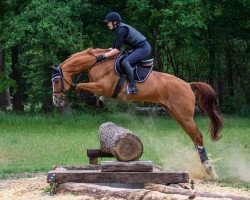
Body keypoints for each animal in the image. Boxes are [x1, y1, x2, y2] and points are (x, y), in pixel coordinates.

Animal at [51, 47, 223, 174]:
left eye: (57, 80)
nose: (56, 101)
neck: (97, 63)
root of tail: (187, 84)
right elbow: (83, 88)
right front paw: (99, 101)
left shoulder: (104, 86)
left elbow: (80, 87)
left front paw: (94, 101)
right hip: (176, 113)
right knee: (194, 137)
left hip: (184, 115)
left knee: (198, 137)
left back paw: (207, 168)